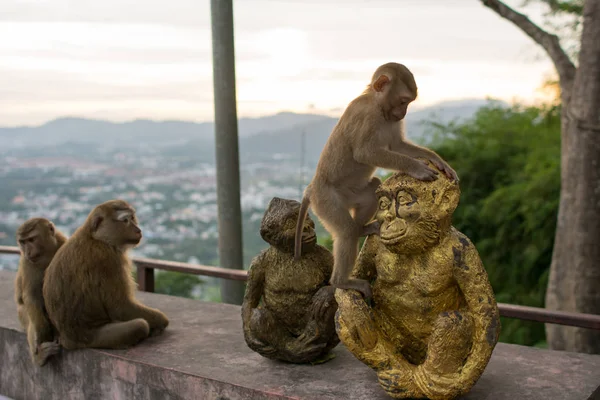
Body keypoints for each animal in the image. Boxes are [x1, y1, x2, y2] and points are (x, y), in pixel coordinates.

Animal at [14, 219, 66, 366]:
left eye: (31, 239)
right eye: (22, 242)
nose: (27, 251)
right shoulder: (27, 262)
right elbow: (31, 296)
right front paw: (44, 332)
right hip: (21, 314)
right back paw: (39, 357)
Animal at [42, 200, 169, 350]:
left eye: (132, 218)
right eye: (125, 220)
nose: (138, 230)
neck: (96, 238)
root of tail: (69, 341)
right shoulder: (109, 260)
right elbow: (121, 308)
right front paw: (162, 321)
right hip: (96, 338)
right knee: (140, 325)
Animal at [292, 62, 458, 298]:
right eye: (403, 101)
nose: (403, 113)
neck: (377, 104)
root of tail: (310, 189)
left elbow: (398, 146)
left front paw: (438, 160)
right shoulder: (367, 116)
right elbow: (366, 153)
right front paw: (416, 168)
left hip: (350, 193)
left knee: (372, 190)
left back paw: (361, 228)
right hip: (326, 200)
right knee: (346, 231)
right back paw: (342, 281)